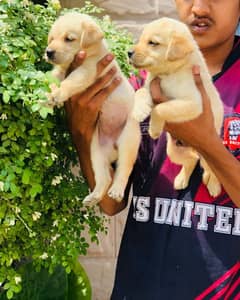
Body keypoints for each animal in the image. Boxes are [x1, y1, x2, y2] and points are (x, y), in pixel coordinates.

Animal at [45, 12, 141, 207]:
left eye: (69, 39)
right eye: (52, 39)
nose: (48, 52)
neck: (91, 53)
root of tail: (113, 147)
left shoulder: (86, 71)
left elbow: (69, 82)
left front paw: (58, 94)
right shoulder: (62, 69)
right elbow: (54, 77)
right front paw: (49, 95)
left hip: (128, 141)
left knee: (124, 170)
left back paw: (117, 191)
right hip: (96, 152)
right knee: (105, 178)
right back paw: (94, 196)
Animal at [128, 17, 224, 197]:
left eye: (153, 43)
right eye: (141, 39)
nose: (128, 52)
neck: (169, 74)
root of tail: (195, 150)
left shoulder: (194, 103)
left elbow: (160, 108)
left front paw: (154, 129)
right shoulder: (149, 85)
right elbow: (140, 92)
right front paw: (139, 109)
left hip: (212, 156)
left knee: (212, 171)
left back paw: (214, 186)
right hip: (173, 151)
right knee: (191, 160)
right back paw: (181, 179)